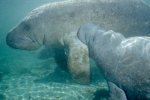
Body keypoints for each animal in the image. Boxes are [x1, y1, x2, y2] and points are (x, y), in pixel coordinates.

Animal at [6, 0, 150, 84]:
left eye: (26, 26)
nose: (7, 37)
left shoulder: (74, 34)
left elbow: (76, 60)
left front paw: (84, 81)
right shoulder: (56, 43)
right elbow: (61, 58)